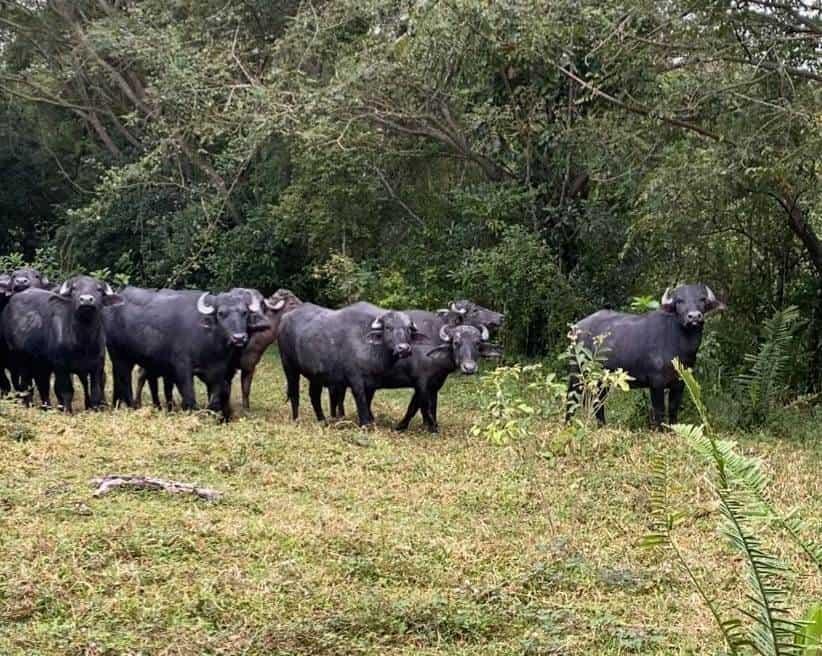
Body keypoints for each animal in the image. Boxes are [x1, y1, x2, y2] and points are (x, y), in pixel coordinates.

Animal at [0, 276, 122, 410]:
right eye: (74, 288)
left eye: (99, 289)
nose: (86, 300)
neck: (83, 341)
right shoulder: (61, 367)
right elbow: (65, 392)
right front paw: (67, 411)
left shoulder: (97, 367)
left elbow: (96, 392)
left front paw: (95, 409)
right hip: (21, 360)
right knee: (26, 385)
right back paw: (29, 404)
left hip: (40, 364)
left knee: (42, 386)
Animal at [103, 284, 268, 418]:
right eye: (221, 313)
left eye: (244, 312)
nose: (239, 338)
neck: (210, 343)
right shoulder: (182, 368)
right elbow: (189, 398)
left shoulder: (219, 371)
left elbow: (215, 399)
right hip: (119, 356)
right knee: (124, 379)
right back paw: (131, 406)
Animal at [278, 302, 432, 426]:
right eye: (388, 327)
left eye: (408, 329)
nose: (403, 348)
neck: (369, 346)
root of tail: (285, 319)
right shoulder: (355, 379)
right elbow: (361, 401)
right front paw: (365, 424)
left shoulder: (371, 384)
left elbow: (367, 401)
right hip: (288, 366)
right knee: (294, 393)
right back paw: (296, 419)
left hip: (315, 375)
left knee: (314, 395)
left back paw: (323, 420)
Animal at [568, 284, 728, 428]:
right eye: (679, 301)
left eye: (701, 299)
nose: (694, 316)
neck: (678, 344)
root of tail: (576, 328)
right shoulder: (656, 383)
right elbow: (659, 411)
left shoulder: (680, 382)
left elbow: (673, 409)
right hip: (578, 374)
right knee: (572, 400)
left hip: (602, 380)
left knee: (598, 403)